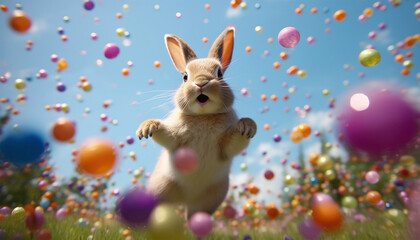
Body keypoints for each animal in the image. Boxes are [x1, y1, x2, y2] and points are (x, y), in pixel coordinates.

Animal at [137, 27, 256, 218]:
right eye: (185, 77)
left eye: (219, 73)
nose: (201, 83)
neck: (203, 116)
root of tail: (186, 200)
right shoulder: (175, 139)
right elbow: (165, 134)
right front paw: (148, 127)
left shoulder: (224, 146)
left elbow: (235, 142)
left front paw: (247, 125)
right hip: (162, 189)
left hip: (209, 199)